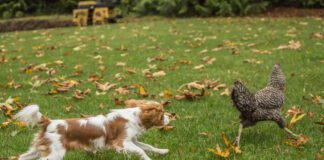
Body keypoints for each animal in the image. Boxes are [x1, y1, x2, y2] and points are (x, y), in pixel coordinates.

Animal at [13, 101, 170, 160]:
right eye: (162, 114)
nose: (171, 116)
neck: (133, 116)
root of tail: (49, 122)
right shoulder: (122, 142)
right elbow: (142, 150)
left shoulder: (132, 141)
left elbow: (148, 147)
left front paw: (162, 151)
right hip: (54, 153)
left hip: (38, 149)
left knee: (22, 157)